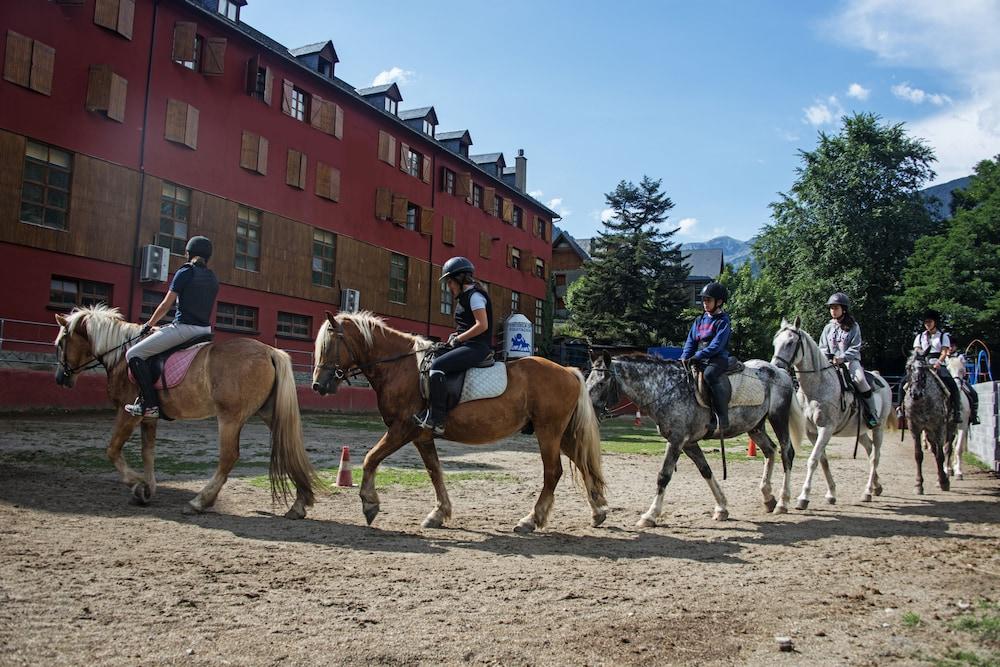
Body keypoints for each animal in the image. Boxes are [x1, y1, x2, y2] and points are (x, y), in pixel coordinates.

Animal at [53, 306, 316, 520]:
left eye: (61, 343)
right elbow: (148, 452)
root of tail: (270, 351)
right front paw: (148, 488)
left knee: (229, 457)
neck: (121, 356)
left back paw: (199, 502)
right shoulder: (148, 417)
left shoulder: (128, 414)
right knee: (290, 449)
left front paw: (136, 485)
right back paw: (298, 505)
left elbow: (112, 450)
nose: (61, 379)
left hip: (230, 418)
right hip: (269, 413)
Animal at [312, 310, 608, 536]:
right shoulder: (422, 435)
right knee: (584, 463)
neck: (402, 368)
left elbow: (370, 458)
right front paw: (439, 513)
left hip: (548, 432)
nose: (318, 385)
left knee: (553, 472)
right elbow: (434, 471)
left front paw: (370, 505)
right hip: (563, 434)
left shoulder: (401, 429)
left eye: (329, 346)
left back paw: (531, 520)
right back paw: (598, 511)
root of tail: (568, 371)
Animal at [584, 352, 804, 528]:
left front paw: (650, 515)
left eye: (601, 383)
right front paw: (721, 508)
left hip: (778, 418)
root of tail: (780, 371)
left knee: (786, 453)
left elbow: (663, 476)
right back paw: (768, 497)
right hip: (755, 427)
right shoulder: (689, 443)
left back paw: (783, 502)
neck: (666, 389)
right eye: (587, 382)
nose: (590, 414)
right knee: (770, 450)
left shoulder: (676, 440)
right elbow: (705, 470)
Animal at [768, 318, 896, 512]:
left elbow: (813, 460)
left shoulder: (825, 429)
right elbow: (823, 460)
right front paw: (831, 494)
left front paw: (803, 497)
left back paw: (867, 491)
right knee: (870, 450)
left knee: (875, 456)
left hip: (878, 428)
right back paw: (876, 486)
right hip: (861, 432)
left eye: (790, 343)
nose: (776, 367)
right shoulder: (812, 432)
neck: (818, 386)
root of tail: (881, 379)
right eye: (775, 343)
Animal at [908, 354, 952, 496]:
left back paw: (945, 476)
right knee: (934, 450)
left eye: (924, 370)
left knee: (946, 449)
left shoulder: (939, 427)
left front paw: (944, 482)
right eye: (909, 368)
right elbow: (918, 455)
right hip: (928, 432)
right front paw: (918, 485)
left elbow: (940, 455)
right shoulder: (914, 428)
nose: (915, 393)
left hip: (949, 428)